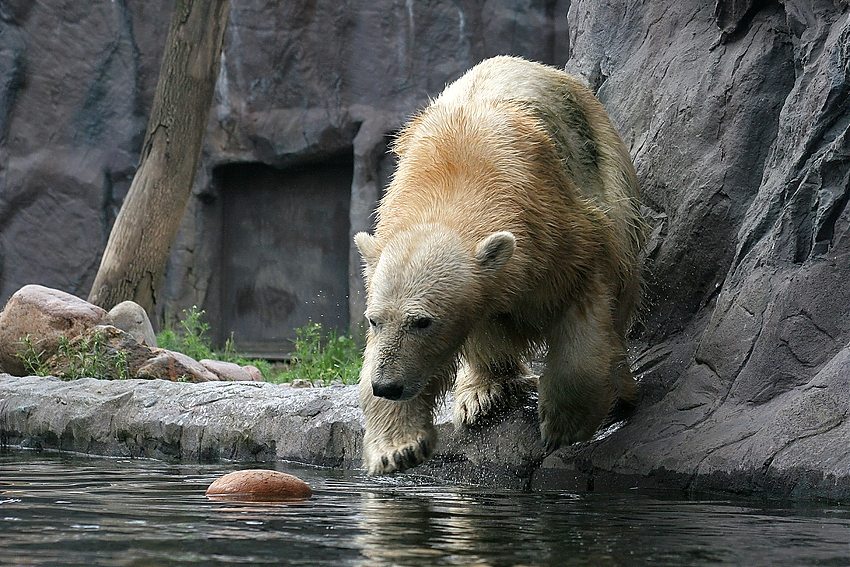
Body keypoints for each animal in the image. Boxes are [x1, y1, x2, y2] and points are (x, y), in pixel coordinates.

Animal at [352, 56, 644, 474]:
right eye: (374, 320)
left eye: (422, 321)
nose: (387, 386)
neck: (453, 182)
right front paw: (398, 447)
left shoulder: (557, 230)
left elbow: (585, 305)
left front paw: (563, 425)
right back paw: (481, 394)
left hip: (602, 154)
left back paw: (622, 387)